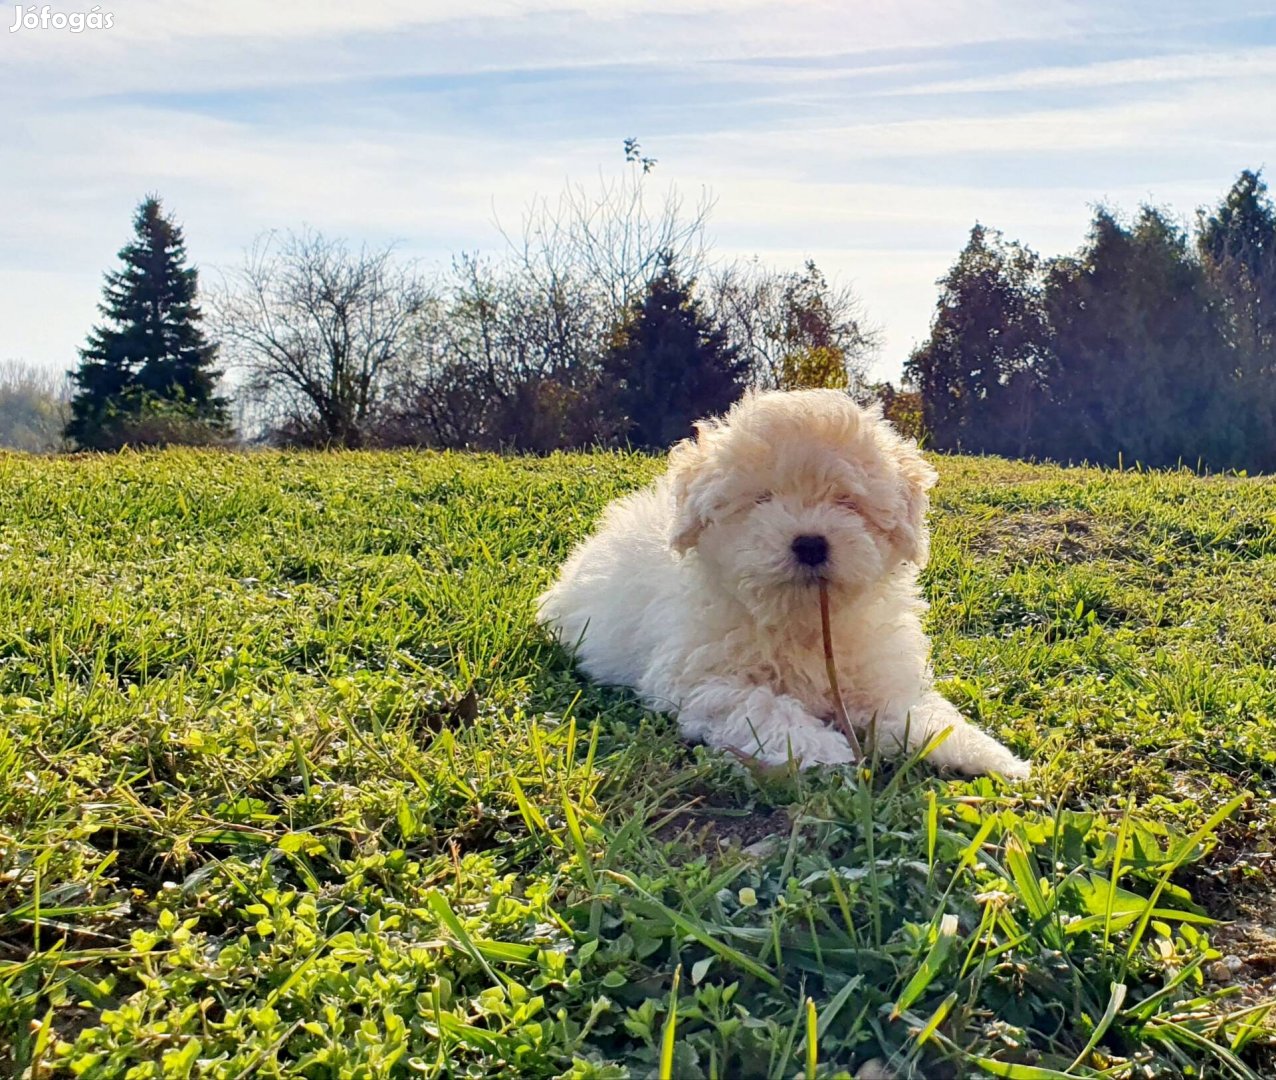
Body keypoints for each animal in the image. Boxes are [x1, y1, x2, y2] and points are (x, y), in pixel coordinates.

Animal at [535, 388, 1025, 776]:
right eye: (762, 500)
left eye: (846, 501)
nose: (809, 543)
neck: (801, 620)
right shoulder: (701, 677)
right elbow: (761, 704)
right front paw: (821, 747)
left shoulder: (878, 672)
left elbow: (915, 711)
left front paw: (987, 754)